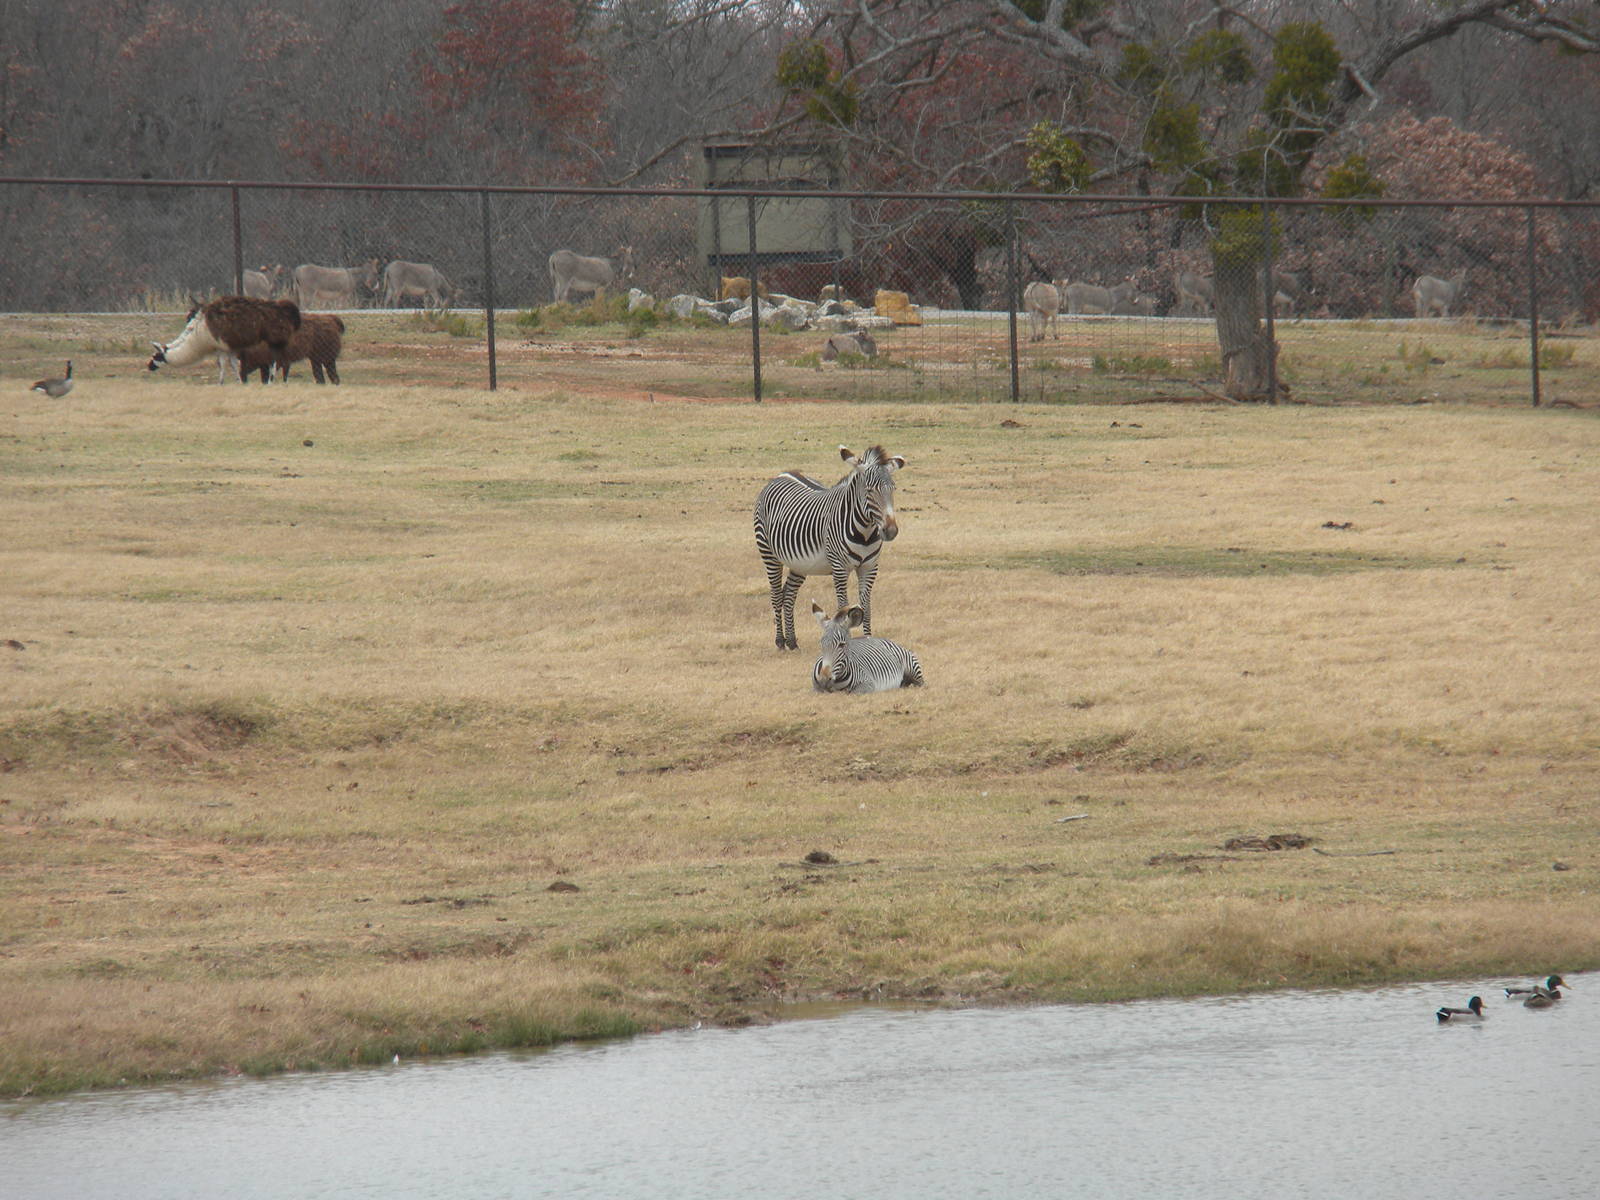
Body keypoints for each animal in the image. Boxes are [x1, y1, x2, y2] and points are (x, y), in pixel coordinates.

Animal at [754, 444, 906, 651]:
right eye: (869, 491)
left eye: (893, 489)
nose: (890, 531)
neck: (865, 533)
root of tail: (782, 474)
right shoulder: (840, 568)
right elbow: (844, 607)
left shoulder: (869, 567)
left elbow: (866, 607)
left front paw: (869, 642)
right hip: (769, 553)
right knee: (777, 595)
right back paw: (780, 641)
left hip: (799, 563)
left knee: (789, 595)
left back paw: (792, 642)